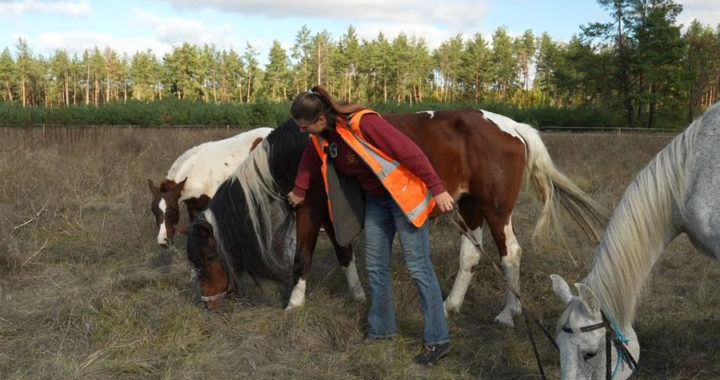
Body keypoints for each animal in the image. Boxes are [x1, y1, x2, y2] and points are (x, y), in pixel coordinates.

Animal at [187, 108, 608, 326]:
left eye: (206, 257)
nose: (208, 304)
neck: (298, 150)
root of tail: (513, 127)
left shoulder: (309, 211)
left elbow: (302, 258)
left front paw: (294, 303)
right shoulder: (331, 213)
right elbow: (344, 253)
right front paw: (358, 295)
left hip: (495, 210)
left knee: (511, 255)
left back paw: (508, 313)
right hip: (468, 207)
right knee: (471, 255)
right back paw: (450, 305)